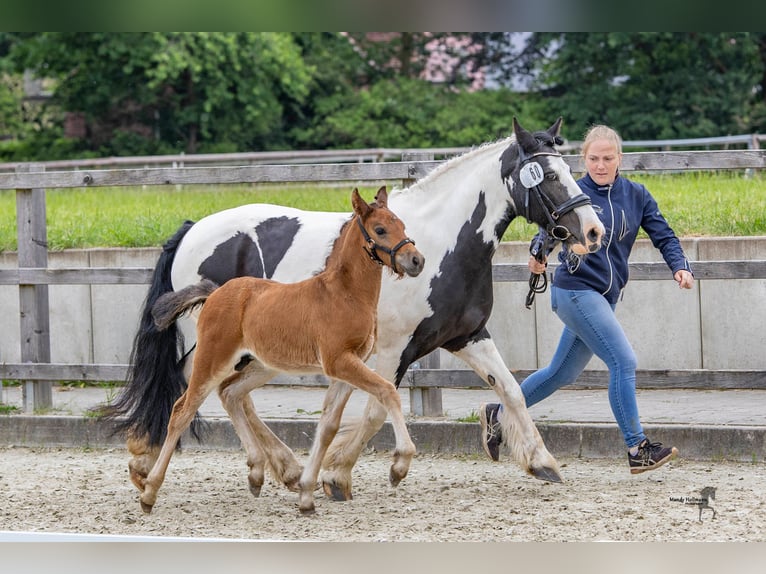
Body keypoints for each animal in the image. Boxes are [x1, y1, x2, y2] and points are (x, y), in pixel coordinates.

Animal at [134, 189, 426, 516]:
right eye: (380, 229)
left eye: (401, 224)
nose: (416, 260)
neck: (343, 294)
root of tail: (214, 292)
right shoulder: (339, 361)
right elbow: (388, 391)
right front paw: (400, 465)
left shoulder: (345, 369)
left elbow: (328, 426)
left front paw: (307, 494)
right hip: (213, 358)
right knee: (182, 410)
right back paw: (149, 492)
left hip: (261, 364)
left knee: (230, 393)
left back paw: (258, 473)